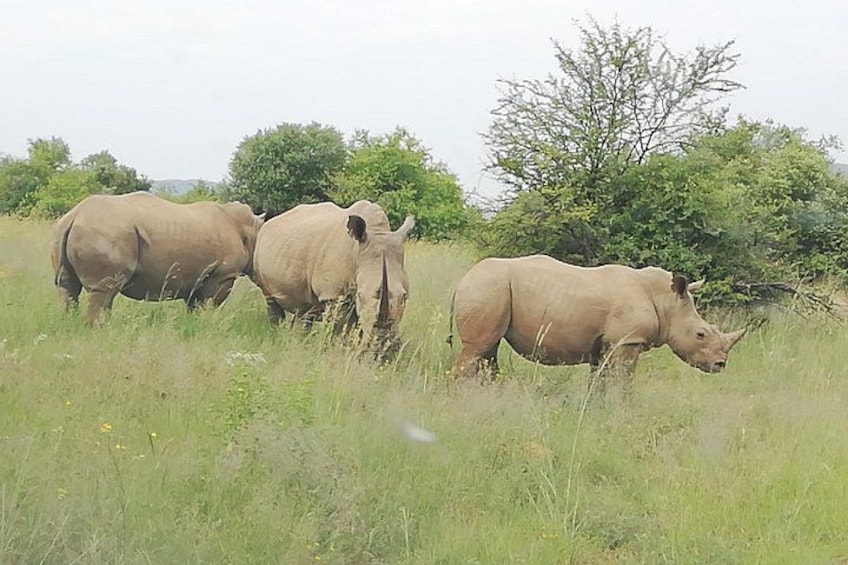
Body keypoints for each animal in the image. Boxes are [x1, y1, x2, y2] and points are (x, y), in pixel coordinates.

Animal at [51, 191, 265, 325]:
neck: (252, 231)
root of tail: (75, 215)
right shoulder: (223, 275)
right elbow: (209, 305)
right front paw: (207, 325)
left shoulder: (196, 277)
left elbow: (194, 307)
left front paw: (193, 326)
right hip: (106, 232)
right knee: (104, 290)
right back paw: (99, 328)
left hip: (64, 229)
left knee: (67, 286)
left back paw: (69, 323)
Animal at [251, 200, 415, 352]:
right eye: (360, 296)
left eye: (404, 297)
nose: (383, 346)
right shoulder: (333, 295)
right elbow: (338, 326)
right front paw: (335, 349)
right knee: (271, 300)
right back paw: (277, 336)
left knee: (303, 309)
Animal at [448, 255, 747, 396]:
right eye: (700, 334)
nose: (720, 365)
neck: (665, 301)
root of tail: (463, 280)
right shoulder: (628, 341)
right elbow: (624, 381)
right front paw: (625, 412)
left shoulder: (604, 345)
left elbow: (599, 382)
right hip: (487, 288)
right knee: (476, 349)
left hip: (491, 289)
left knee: (488, 352)